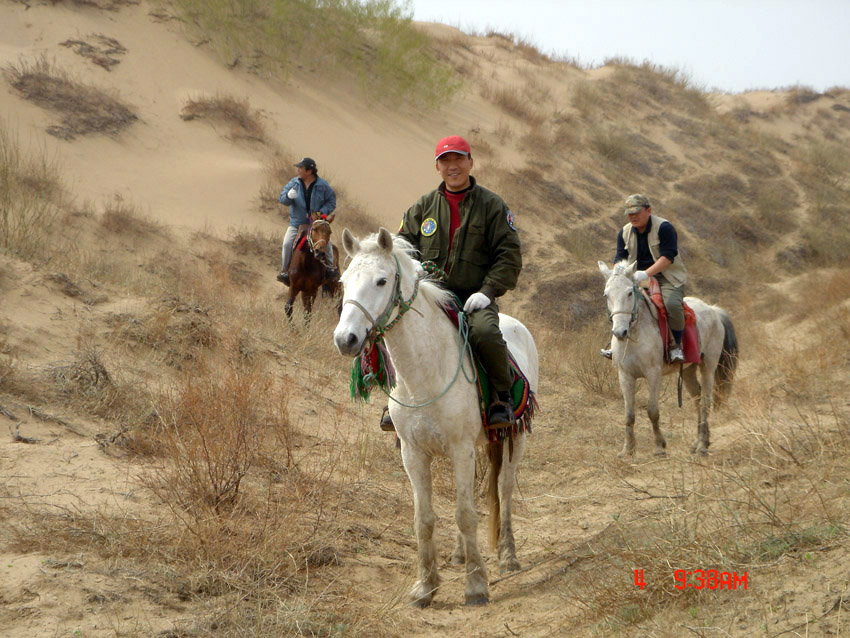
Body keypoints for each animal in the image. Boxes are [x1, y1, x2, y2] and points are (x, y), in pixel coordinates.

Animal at [332, 230, 536, 608]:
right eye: (344, 281)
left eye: (381, 281)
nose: (345, 339)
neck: (424, 371)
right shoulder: (413, 454)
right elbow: (424, 519)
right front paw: (425, 586)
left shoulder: (460, 449)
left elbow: (466, 515)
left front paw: (476, 585)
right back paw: (459, 554)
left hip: (515, 438)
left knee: (504, 489)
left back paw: (508, 556)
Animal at [596, 262, 736, 458]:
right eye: (606, 294)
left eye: (629, 293)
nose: (619, 332)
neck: (635, 334)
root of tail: (713, 310)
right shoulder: (625, 376)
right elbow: (629, 415)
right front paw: (627, 449)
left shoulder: (653, 374)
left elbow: (652, 411)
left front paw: (659, 447)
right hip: (688, 370)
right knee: (698, 399)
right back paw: (699, 442)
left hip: (708, 366)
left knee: (706, 401)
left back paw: (702, 446)